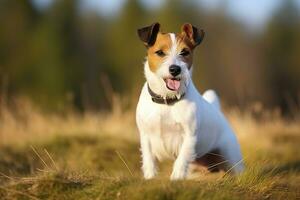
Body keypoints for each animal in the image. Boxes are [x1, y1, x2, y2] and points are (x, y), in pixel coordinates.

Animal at [136, 22, 244, 180]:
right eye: (160, 52)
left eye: (184, 52)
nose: (175, 69)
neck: (167, 99)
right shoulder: (146, 136)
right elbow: (149, 160)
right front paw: (150, 178)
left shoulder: (189, 136)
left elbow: (181, 160)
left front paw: (176, 179)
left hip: (231, 157)